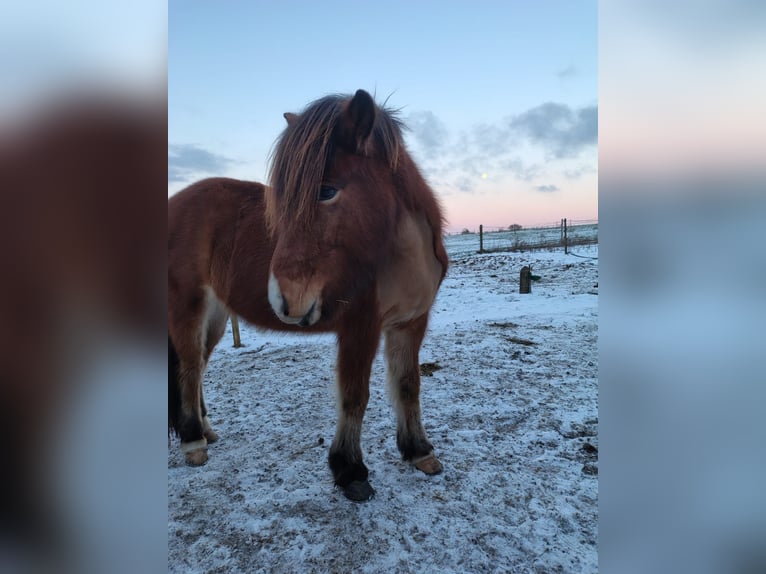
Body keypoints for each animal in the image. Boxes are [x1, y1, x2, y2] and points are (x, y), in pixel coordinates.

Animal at [168, 89, 449, 501]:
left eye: (327, 191)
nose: (283, 299)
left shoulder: (410, 324)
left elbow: (408, 386)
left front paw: (419, 452)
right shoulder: (360, 327)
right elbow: (355, 395)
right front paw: (350, 471)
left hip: (216, 315)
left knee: (200, 366)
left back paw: (207, 431)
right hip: (188, 306)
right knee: (188, 368)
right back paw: (193, 443)